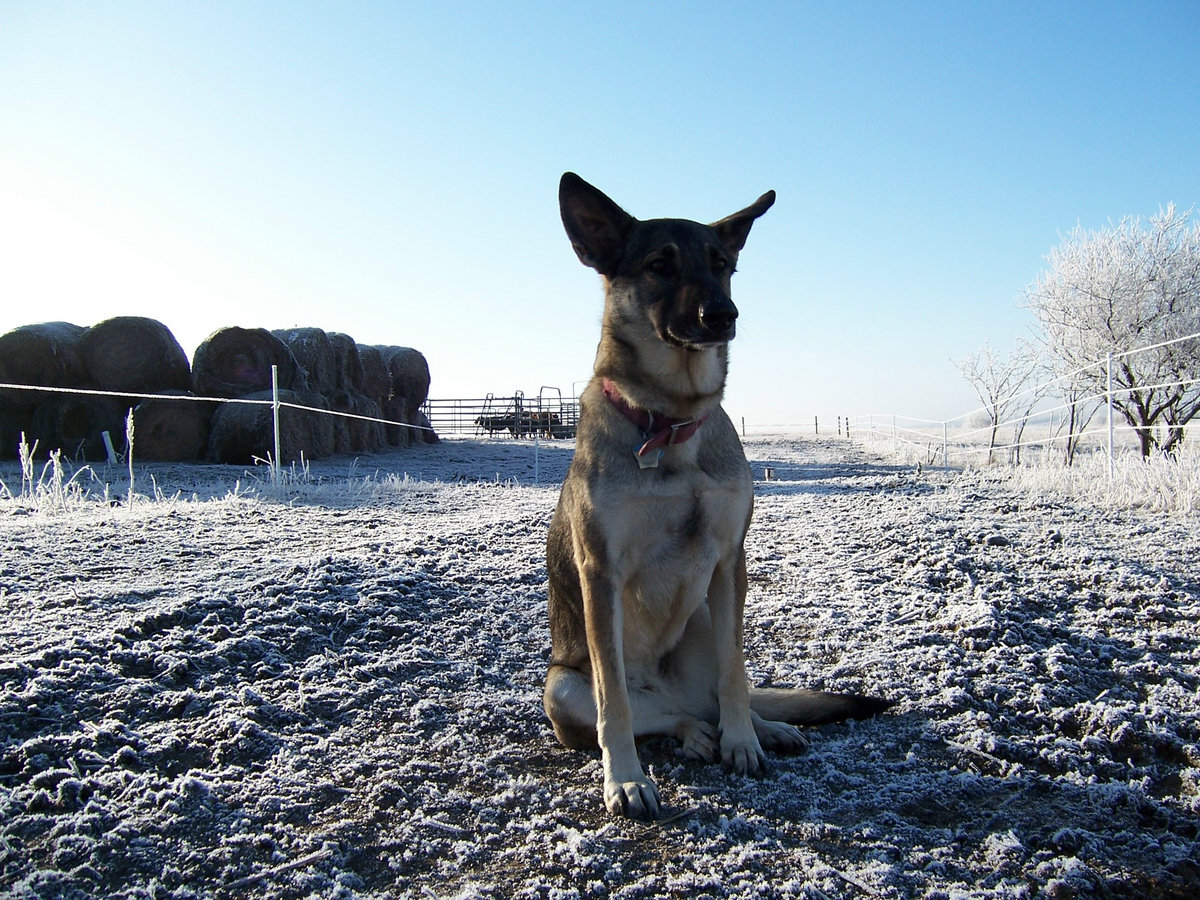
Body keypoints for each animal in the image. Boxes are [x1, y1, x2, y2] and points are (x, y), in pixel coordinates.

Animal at [543, 173, 891, 819]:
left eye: (723, 265)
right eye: (658, 265)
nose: (723, 313)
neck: (671, 421)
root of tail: (667, 686)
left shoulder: (731, 560)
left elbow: (736, 671)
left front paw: (744, 742)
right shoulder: (600, 572)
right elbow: (614, 704)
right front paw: (625, 779)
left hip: (705, 616)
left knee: (718, 695)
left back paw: (753, 728)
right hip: (562, 686)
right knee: (656, 715)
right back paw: (692, 735)